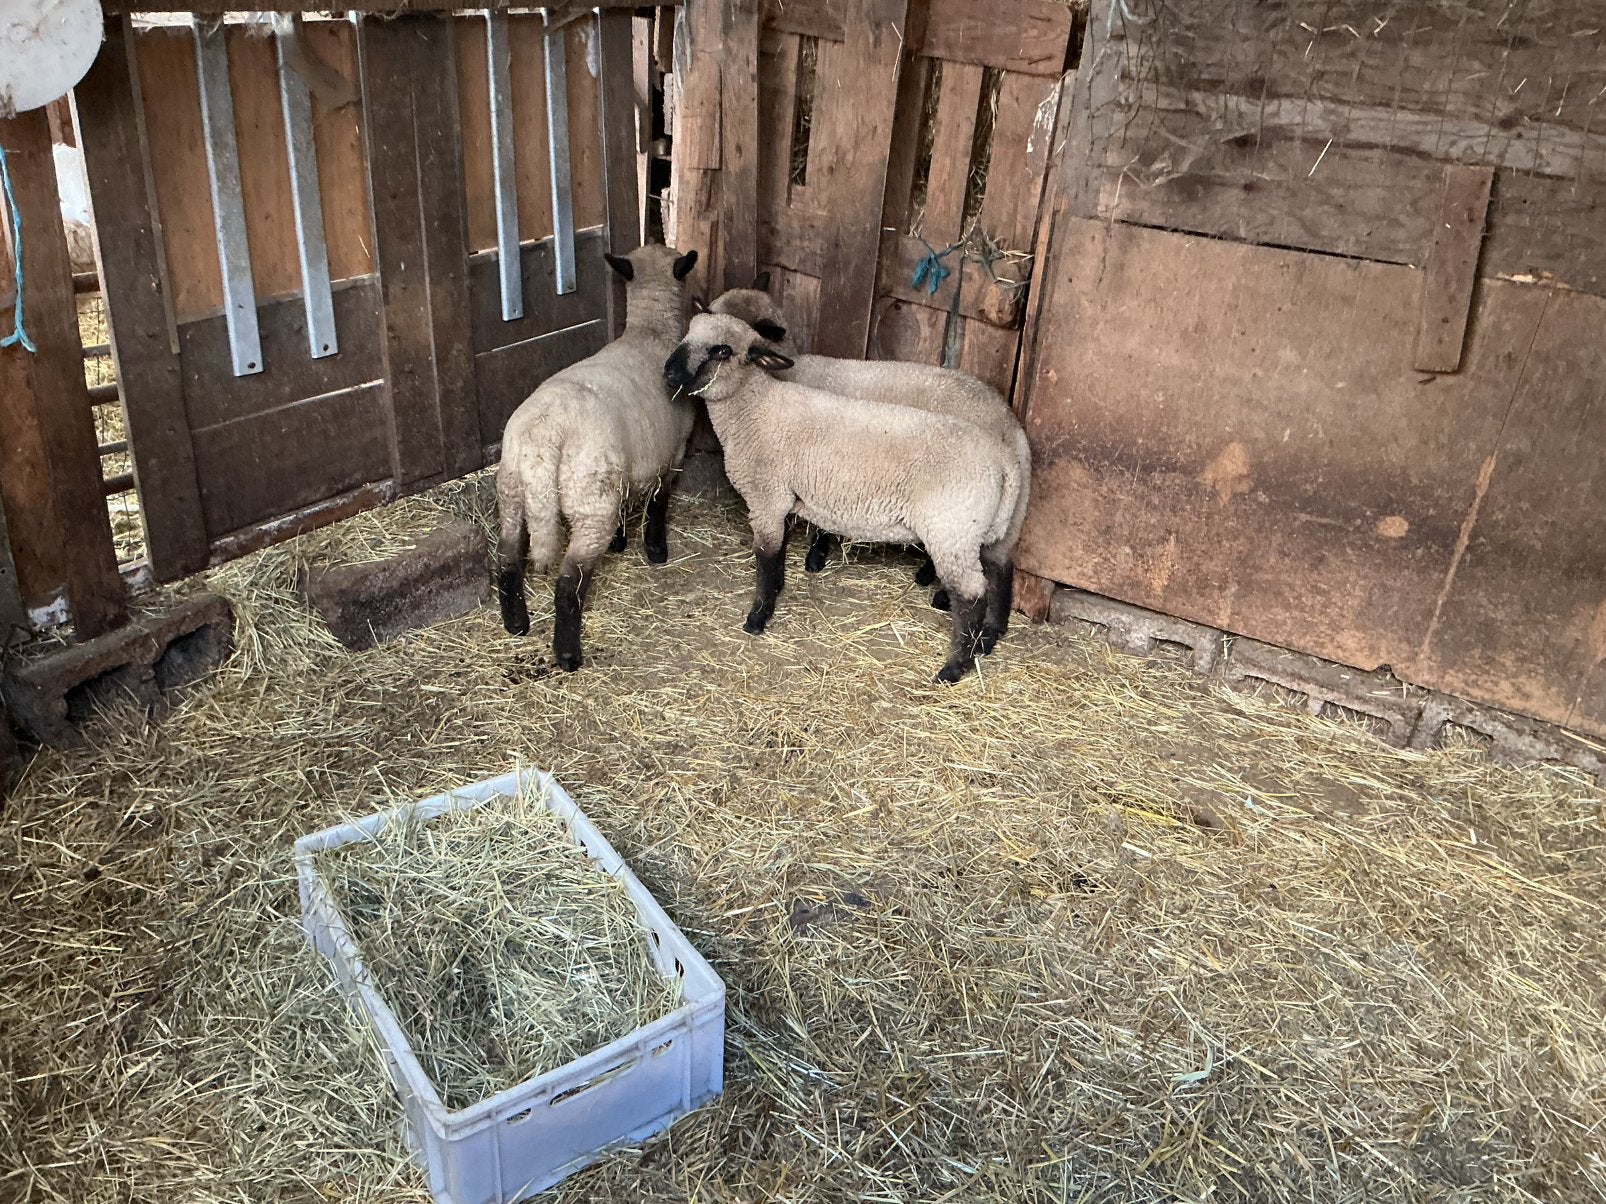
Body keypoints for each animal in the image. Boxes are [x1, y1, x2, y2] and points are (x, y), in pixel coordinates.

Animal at [496, 243, 699, 671]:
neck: (650, 334)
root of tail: (545, 434)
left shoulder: (625, 471)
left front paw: (623, 542)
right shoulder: (672, 454)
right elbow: (659, 504)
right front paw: (656, 550)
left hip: (514, 492)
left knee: (506, 559)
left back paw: (517, 625)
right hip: (589, 501)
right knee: (568, 583)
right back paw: (568, 655)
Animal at [664, 312, 1022, 683]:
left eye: (722, 350)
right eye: (688, 333)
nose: (669, 372)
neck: (755, 408)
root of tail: (1004, 458)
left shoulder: (766, 498)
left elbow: (765, 558)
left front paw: (758, 616)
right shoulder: (782, 500)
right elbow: (778, 552)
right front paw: (778, 589)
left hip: (952, 529)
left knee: (972, 595)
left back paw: (954, 667)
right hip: (980, 529)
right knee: (1000, 570)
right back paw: (988, 639)